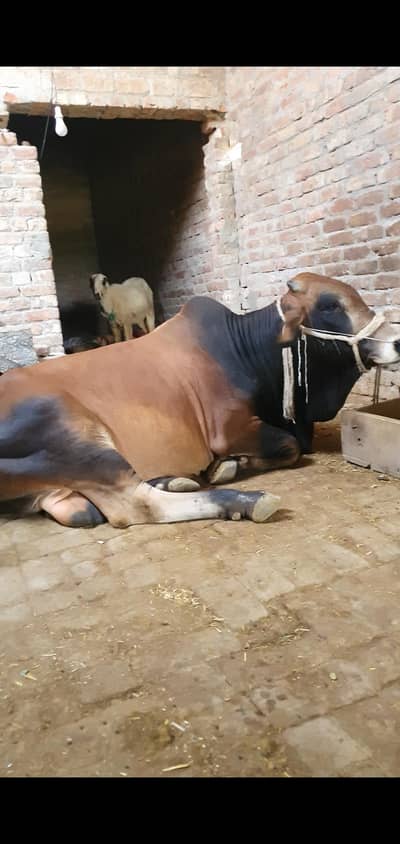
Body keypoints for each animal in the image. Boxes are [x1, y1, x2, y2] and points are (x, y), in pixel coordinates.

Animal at [1, 272, 399, 530]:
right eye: (330, 306)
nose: (395, 341)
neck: (245, 352)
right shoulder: (228, 430)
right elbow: (290, 447)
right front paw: (228, 467)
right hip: (79, 441)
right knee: (139, 504)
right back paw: (245, 501)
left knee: (78, 510)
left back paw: (174, 480)